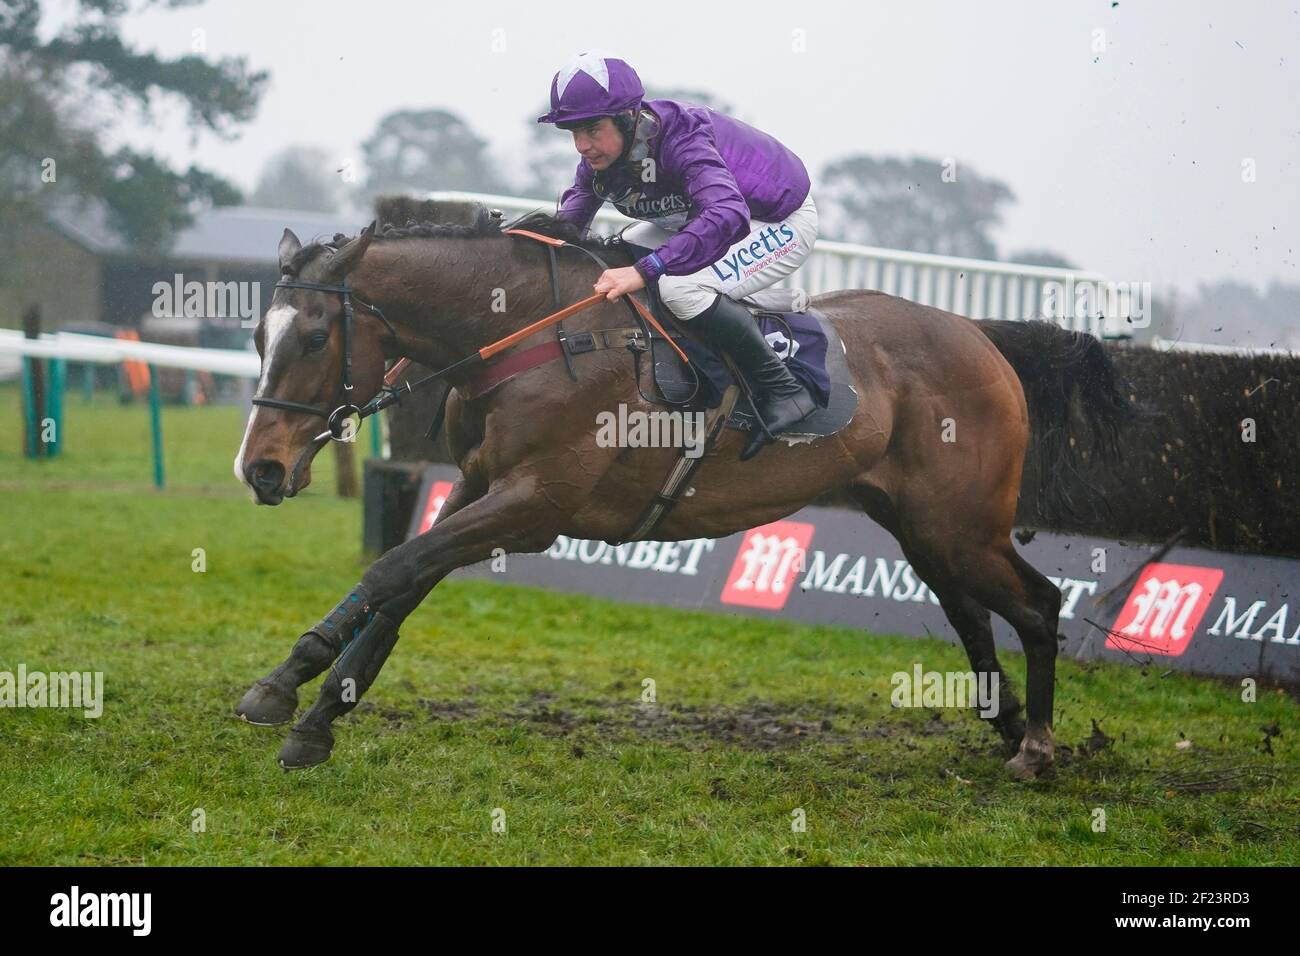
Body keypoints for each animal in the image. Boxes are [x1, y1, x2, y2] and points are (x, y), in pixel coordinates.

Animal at [239, 208, 1133, 780]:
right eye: (255, 334)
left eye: (314, 337)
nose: (262, 469)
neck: (533, 334)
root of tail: (983, 337)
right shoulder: (477, 486)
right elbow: (400, 589)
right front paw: (312, 713)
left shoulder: (534, 506)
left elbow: (392, 572)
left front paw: (287, 689)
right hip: (922, 527)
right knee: (972, 614)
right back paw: (1009, 725)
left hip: (962, 526)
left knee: (1038, 605)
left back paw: (1038, 748)